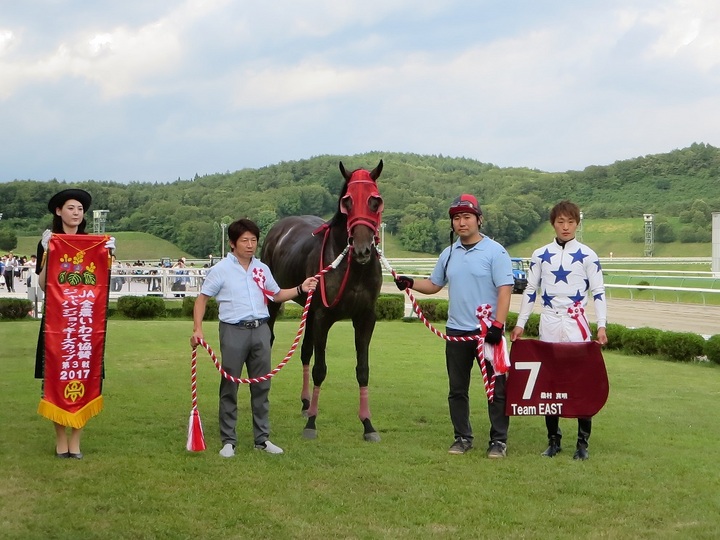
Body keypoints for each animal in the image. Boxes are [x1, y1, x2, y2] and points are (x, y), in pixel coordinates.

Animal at [261, 160, 384, 441]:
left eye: (375, 201)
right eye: (347, 201)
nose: (362, 249)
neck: (353, 269)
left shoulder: (365, 318)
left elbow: (363, 369)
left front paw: (368, 424)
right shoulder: (322, 317)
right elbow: (320, 369)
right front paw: (312, 424)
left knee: (305, 351)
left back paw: (307, 403)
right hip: (274, 302)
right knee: (270, 340)